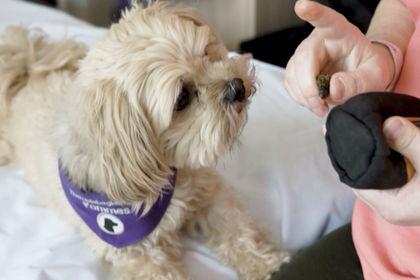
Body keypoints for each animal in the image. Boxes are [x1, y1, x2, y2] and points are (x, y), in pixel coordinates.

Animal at [0, 2, 288, 280]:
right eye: (182, 97)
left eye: (207, 53)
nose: (237, 87)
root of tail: (26, 69)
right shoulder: (136, 253)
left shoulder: (210, 195)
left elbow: (239, 231)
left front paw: (267, 264)